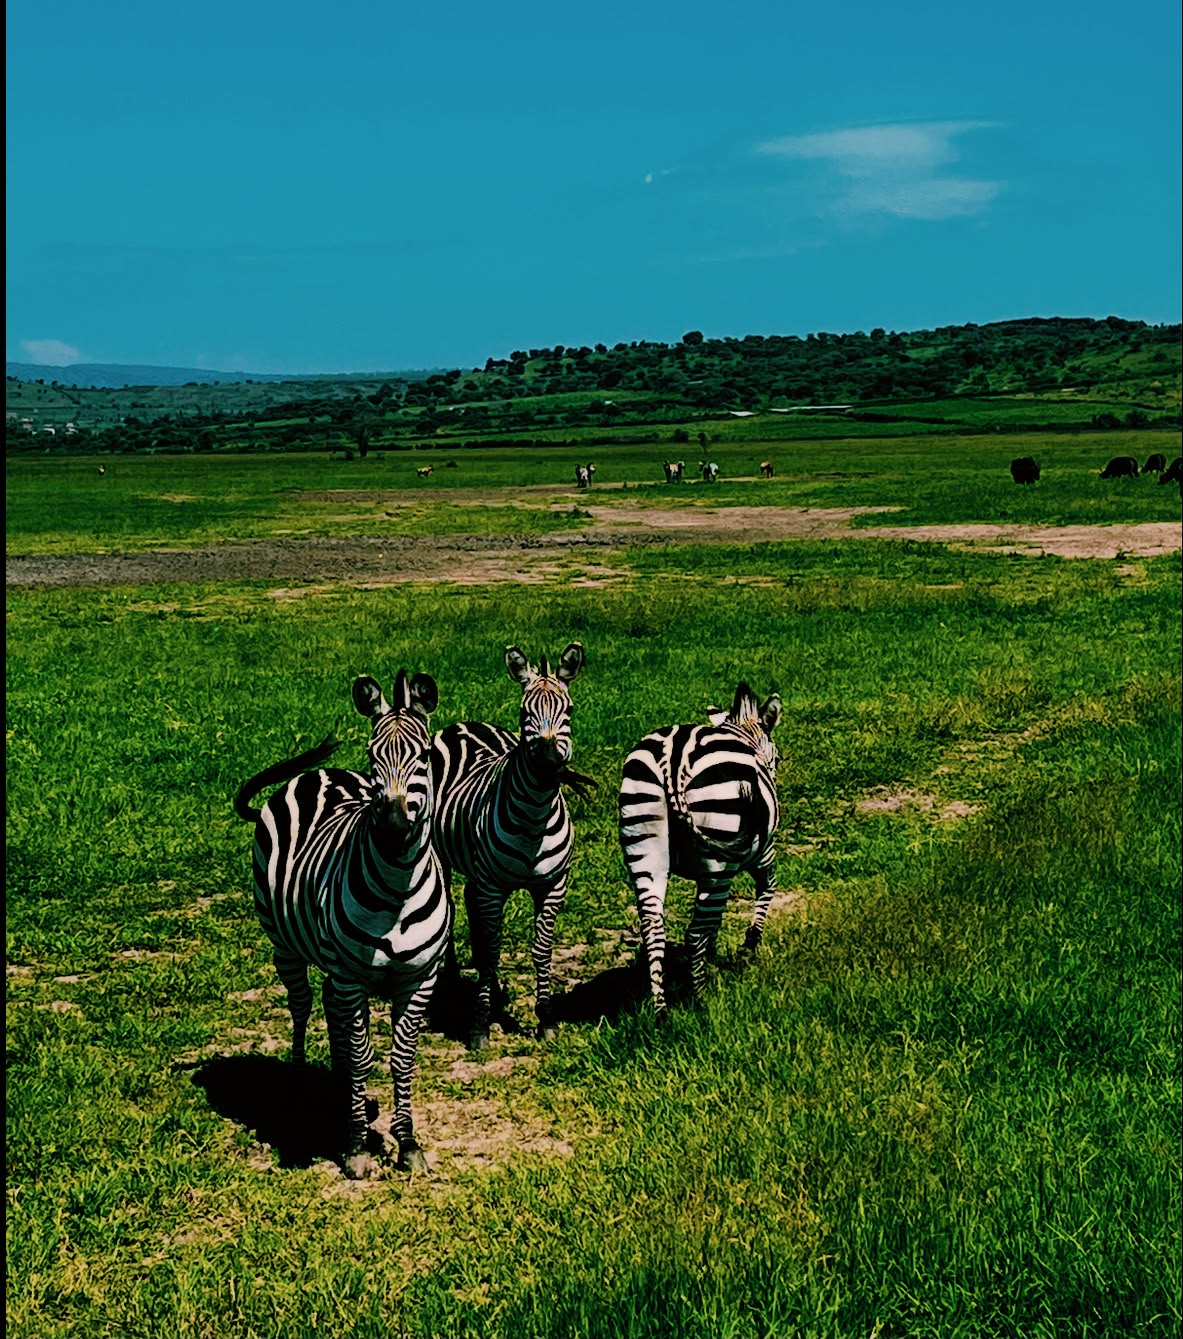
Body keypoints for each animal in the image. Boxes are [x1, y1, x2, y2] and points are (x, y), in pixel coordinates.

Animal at [233, 670, 450, 1179]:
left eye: (425, 756)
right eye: (372, 758)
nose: (391, 829)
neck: (398, 891)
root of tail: (313, 775)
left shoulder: (420, 977)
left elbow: (400, 1058)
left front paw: (406, 1142)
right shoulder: (352, 977)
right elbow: (361, 1054)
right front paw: (355, 1146)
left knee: (332, 1016)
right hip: (285, 946)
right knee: (302, 1006)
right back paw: (300, 1088)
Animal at [432, 643, 589, 1049]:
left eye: (569, 711)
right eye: (524, 713)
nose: (548, 765)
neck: (533, 819)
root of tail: (465, 724)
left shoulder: (553, 885)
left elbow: (542, 949)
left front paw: (545, 1018)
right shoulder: (493, 887)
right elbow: (492, 951)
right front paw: (479, 1024)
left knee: (468, 899)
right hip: (440, 854)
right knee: (452, 904)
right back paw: (452, 979)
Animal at [618, 682, 782, 1015]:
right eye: (777, 759)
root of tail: (673, 759)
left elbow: (713, 923)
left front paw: (713, 959)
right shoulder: (762, 854)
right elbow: (768, 887)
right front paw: (748, 945)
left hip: (645, 850)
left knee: (654, 928)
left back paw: (661, 1010)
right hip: (719, 866)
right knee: (693, 934)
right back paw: (701, 998)